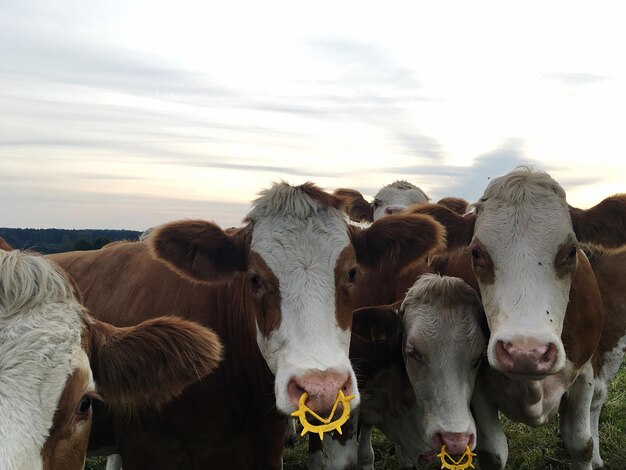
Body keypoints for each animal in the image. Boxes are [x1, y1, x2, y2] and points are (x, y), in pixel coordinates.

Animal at [408, 168, 624, 470]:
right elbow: (494, 453)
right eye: (476, 252)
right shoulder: (479, 389)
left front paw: (589, 454)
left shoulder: (584, 373)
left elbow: (581, 445)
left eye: (571, 251)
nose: (526, 353)